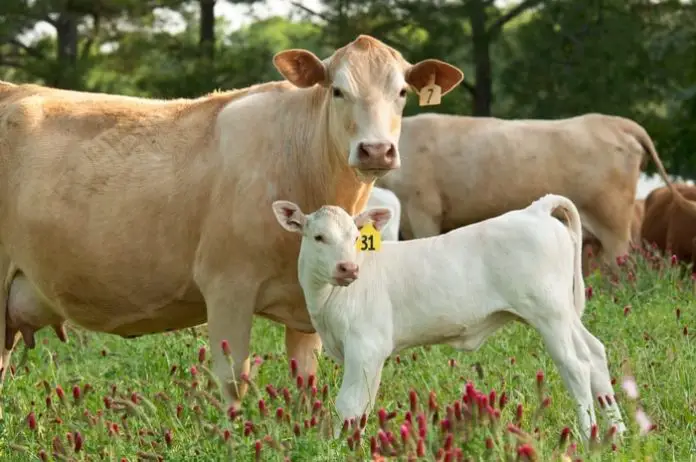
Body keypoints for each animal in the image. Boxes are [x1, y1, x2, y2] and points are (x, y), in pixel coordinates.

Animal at [0, 35, 464, 413]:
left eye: (401, 92)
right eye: (337, 90)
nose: (376, 150)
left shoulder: (306, 308)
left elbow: (306, 383)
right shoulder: (227, 288)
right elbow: (233, 382)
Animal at [271, 194, 625, 441]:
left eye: (356, 237)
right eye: (318, 237)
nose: (348, 268)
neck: (326, 302)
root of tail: (533, 210)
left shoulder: (366, 347)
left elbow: (348, 405)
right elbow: (362, 407)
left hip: (549, 314)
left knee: (575, 367)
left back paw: (588, 438)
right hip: (564, 314)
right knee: (594, 354)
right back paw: (617, 433)